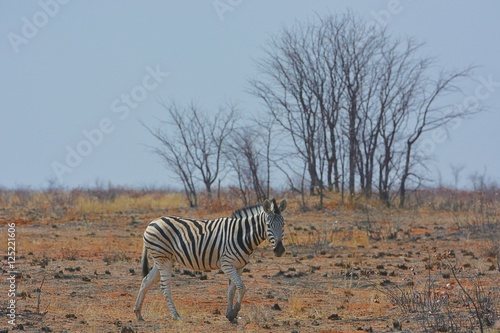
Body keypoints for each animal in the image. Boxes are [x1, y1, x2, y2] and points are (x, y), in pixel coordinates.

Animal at [134, 197, 290, 322]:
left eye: (283, 224)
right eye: (268, 225)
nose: (279, 250)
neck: (242, 235)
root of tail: (152, 222)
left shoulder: (239, 266)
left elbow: (232, 290)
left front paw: (229, 315)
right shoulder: (227, 264)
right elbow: (241, 287)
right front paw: (234, 313)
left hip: (161, 260)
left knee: (145, 282)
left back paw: (138, 314)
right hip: (163, 259)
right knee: (164, 287)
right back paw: (176, 316)